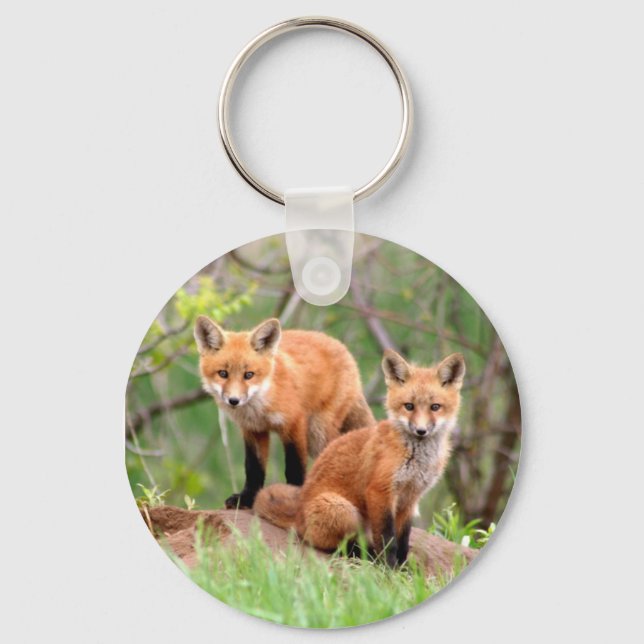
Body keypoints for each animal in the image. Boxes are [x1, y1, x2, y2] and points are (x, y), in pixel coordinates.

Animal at [194, 316, 375, 509]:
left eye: (249, 375)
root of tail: (343, 348)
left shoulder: (294, 423)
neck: (260, 407)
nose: (234, 401)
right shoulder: (253, 430)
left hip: (317, 433)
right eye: (223, 373)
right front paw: (247, 498)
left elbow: (294, 466)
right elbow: (253, 468)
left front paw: (293, 497)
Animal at [253, 349, 465, 566]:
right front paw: (389, 568)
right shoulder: (380, 491)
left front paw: (402, 566)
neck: (416, 458)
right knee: (335, 545)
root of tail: (297, 516)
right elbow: (388, 540)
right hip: (343, 510)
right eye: (409, 406)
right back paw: (365, 555)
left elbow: (403, 540)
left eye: (435, 407)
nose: (421, 431)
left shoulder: (410, 499)